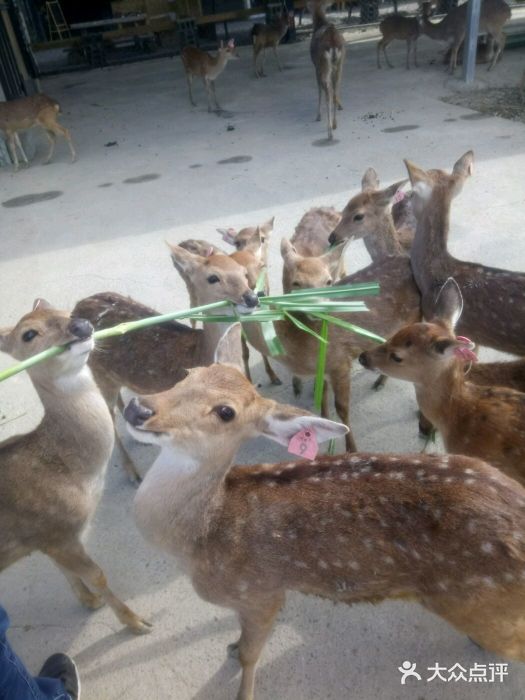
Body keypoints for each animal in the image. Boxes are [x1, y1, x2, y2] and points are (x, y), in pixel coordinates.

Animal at [0, 300, 150, 634]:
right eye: (29, 334)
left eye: (64, 312)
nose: (81, 326)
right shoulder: (56, 531)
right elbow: (97, 574)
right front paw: (136, 621)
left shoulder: (48, 538)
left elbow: (67, 570)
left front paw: (89, 601)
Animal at [73, 248, 259, 483]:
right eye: (213, 278)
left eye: (244, 273)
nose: (251, 298)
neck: (198, 353)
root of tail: (76, 308)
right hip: (97, 370)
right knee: (108, 415)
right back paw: (133, 472)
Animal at [124, 361, 525, 700]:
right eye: (189, 372)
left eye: (226, 412)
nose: (137, 408)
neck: (199, 539)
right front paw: (233, 644)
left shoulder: (262, 592)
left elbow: (251, 657)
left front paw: (242, 686)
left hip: (479, 604)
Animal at [310, 0, 346, 140]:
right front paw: (341, 105)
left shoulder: (316, 66)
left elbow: (319, 89)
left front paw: (318, 115)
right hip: (340, 63)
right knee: (335, 89)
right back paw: (334, 124)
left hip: (324, 65)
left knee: (328, 92)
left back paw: (330, 131)